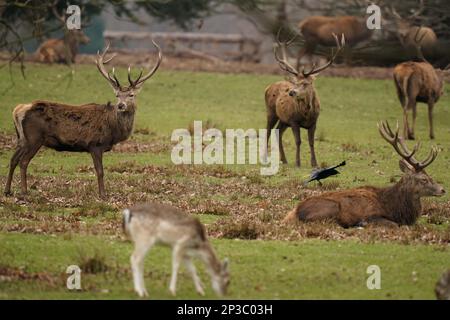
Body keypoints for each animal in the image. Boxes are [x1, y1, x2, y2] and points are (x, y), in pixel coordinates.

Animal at [4, 40, 163, 198]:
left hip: (22, 138)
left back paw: (7, 191)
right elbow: (100, 171)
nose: (121, 105)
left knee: (13, 159)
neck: (114, 130)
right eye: (117, 95)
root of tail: (18, 110)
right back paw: (24, 191)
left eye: (131, 95)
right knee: (23, 161)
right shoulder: (95, 144)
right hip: (34, 138)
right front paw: (103, 195)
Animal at [264, 31, 344, 168]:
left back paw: (284, 160)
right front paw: (298, 162)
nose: (291, 92)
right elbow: (298, 141)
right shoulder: (294, 121)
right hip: (272, 112)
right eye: (296, 82)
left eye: (306, 83)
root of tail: (268, 87)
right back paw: (265, 158)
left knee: (277, 132)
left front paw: (315, 163)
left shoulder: (314, 122)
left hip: (284, 120)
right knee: (268, 131)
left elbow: (311, 142)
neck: (307, 114)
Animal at [284, 120, 444, 228]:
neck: (394, 208)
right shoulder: (371, 215)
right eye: (424, 179)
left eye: (430, 176)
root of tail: (294, 213)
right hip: (331, 208)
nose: (443, 189)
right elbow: (394, 225)